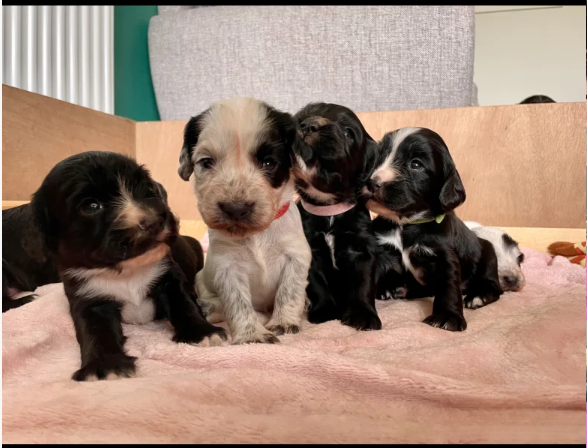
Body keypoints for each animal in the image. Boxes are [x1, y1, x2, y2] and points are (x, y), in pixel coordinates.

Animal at [29, 151, 227, 382]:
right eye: (91, 206)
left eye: (149, 190)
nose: (153, 222)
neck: (126, 271)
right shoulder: (87, 296)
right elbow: (95, 330)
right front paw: (105, 366)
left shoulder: (169, 276)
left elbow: (184, 304)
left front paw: (202, 333)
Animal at [178, 96, 312, 344]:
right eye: (206, 162)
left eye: (269, 163)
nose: (235, 209)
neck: (257, 233)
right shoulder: (227, 267)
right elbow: (238, 303)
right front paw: (252, 334)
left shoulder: (296, 256)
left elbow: (290, 290)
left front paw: (284, 322)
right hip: (202, 281)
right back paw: (207, 307)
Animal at [292, 103, 384, 330]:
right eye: (302, 117)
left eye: (347, 133)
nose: (308, 125)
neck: (328, 209)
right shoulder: (311, 251)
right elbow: (317, 285)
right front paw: (324, 310)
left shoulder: (363, 250)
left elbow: (363, 284)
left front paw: (363, 315)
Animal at [366, 128, 504, 330]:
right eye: (379, 156)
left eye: (416, 164)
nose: (373, 183)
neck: (405, 224)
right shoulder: (381, 249)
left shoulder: (444, 255)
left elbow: (448, 286)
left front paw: (447, 317)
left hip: (488, 254)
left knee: (494, 285)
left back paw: (480, 296)